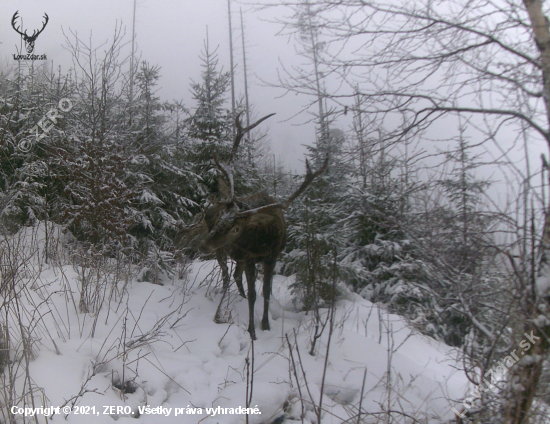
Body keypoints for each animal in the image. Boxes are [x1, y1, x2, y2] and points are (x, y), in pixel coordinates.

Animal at [190, 112, 328, 338]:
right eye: (220, 219)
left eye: (237, 228)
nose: (202, 245)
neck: (263, 240)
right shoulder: (250, 257)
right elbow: (255, 293)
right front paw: (252, 331)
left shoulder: (271, 256)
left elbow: (266, 292)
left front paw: (265, 324)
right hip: (224, 251)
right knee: (226, 275)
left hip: (237, 256)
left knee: (235, 275)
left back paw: (240, 297)